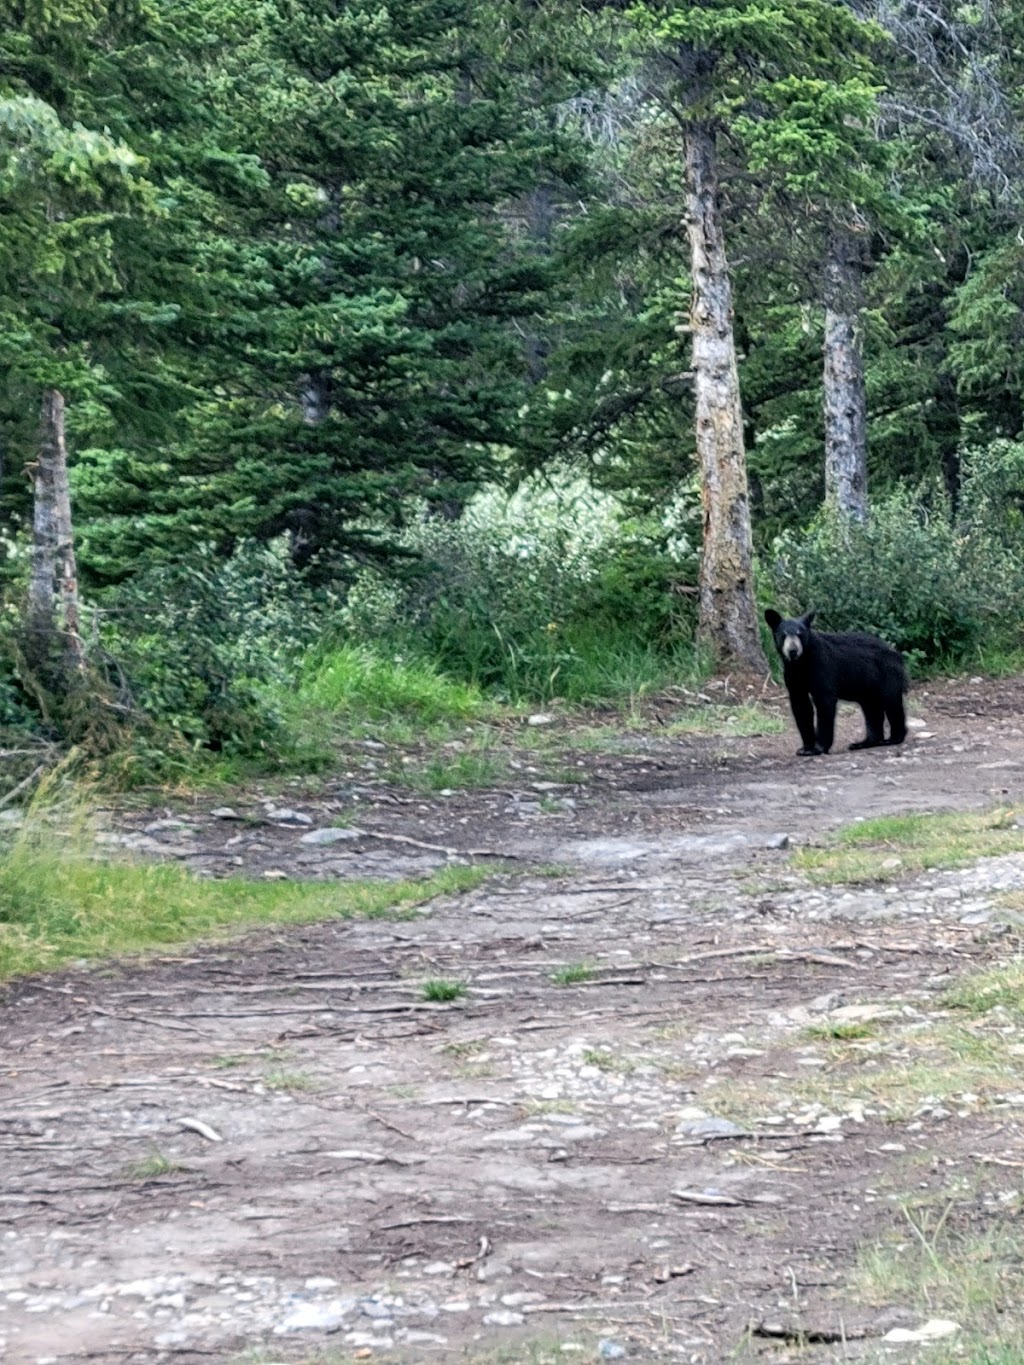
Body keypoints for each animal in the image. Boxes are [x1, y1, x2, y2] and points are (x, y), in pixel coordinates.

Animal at [764, 608, 912, 758]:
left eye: (800, 634)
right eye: (784, 635)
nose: (793, 651)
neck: (801, 663)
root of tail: (897, 655)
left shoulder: (821, 665)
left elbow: (824, 700)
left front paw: (819, 747)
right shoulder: (792, 675)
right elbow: (801, 705)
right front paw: (806, 748)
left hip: (887, 674)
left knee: (891, 702)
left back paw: (893, 738)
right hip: (868, 685)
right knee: (871, 708)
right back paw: (864, 743)